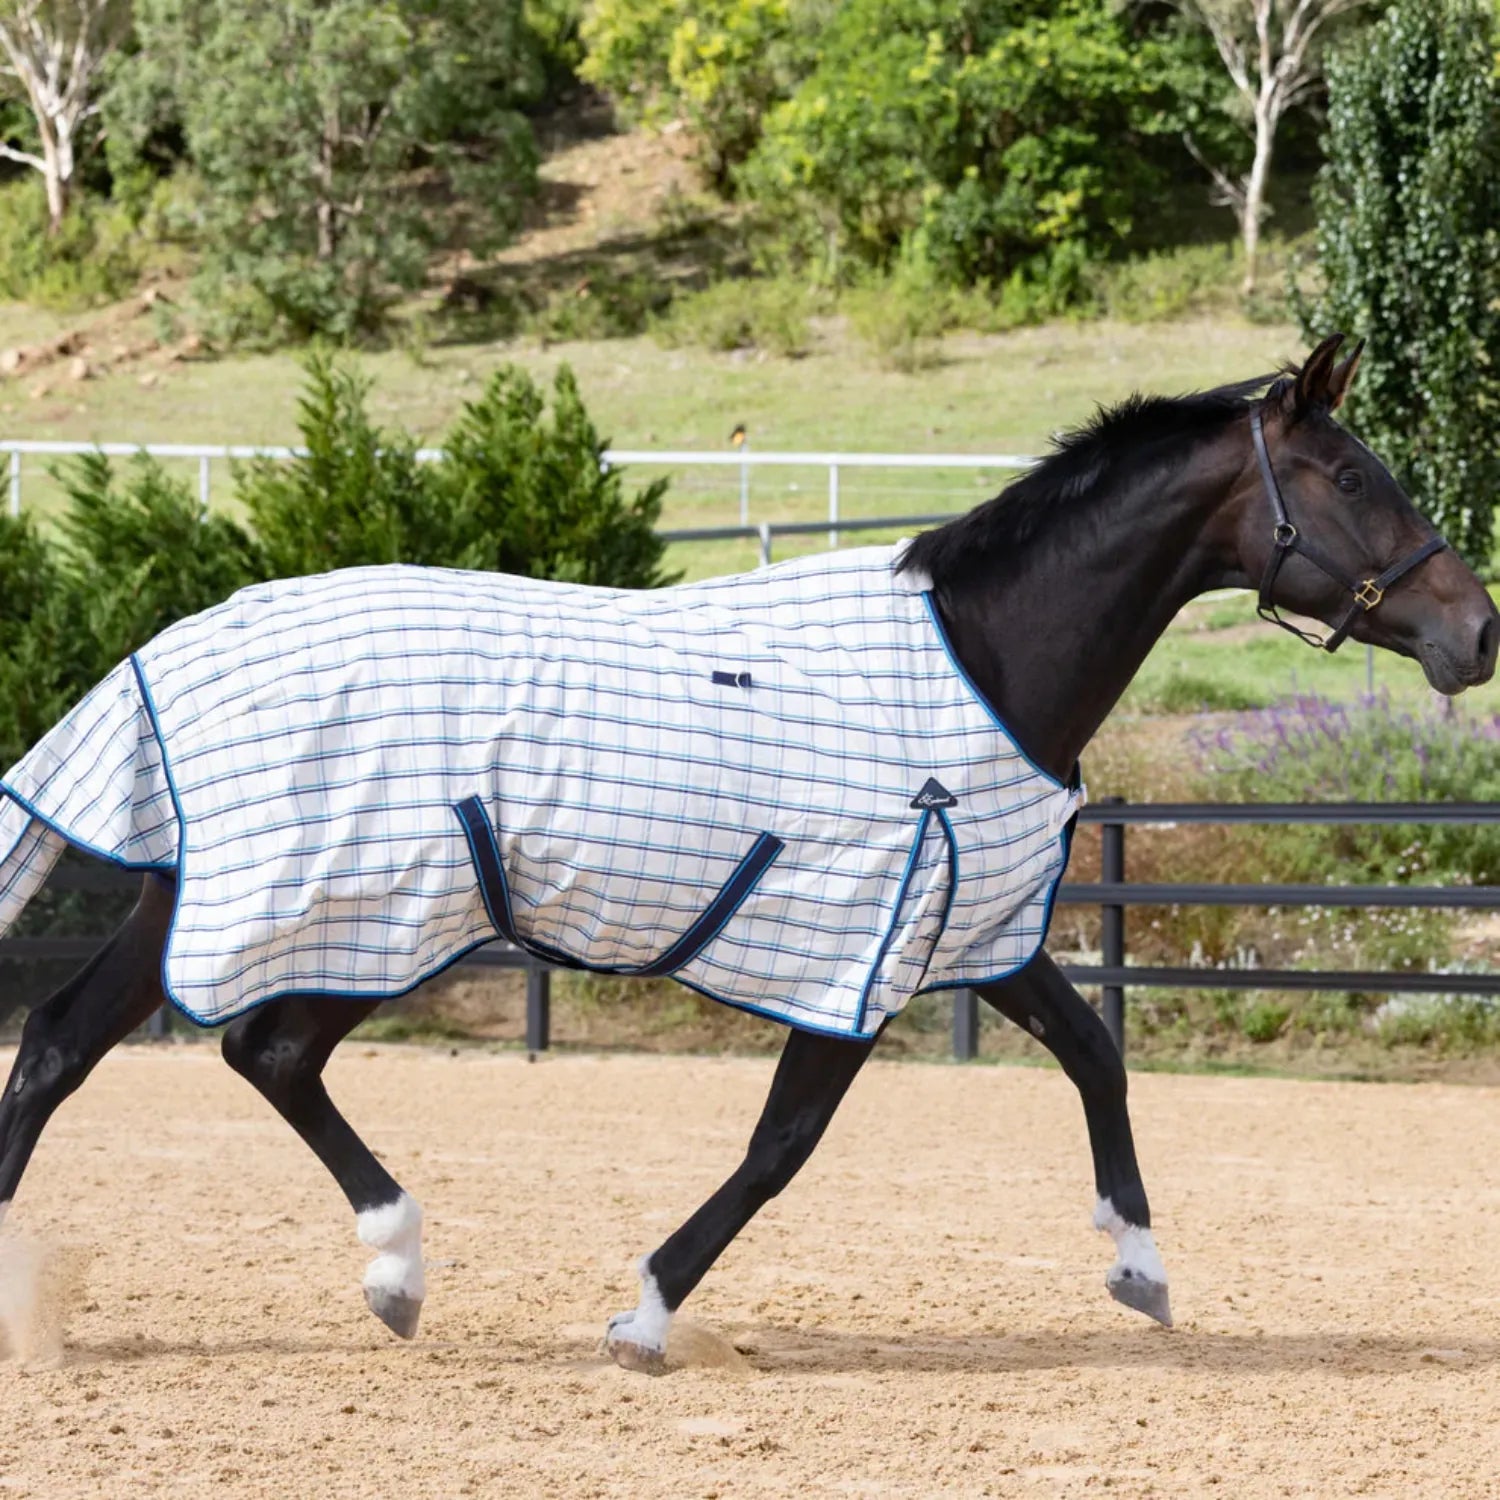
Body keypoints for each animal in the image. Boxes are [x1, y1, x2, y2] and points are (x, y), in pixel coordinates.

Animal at [0, 334, 1493, 1372]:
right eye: (1352, 477)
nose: (1475, 632)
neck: (980, 657)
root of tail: (175, 642)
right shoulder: (860, 954)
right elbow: (784, 1145)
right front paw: (646, 1317)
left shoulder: (973, 933)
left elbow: (1096, 1053)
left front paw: (1141, 1270)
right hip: (365, 911)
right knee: (249, 1052)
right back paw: (396, 1269)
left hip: (261, 899)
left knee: (81, 1046)